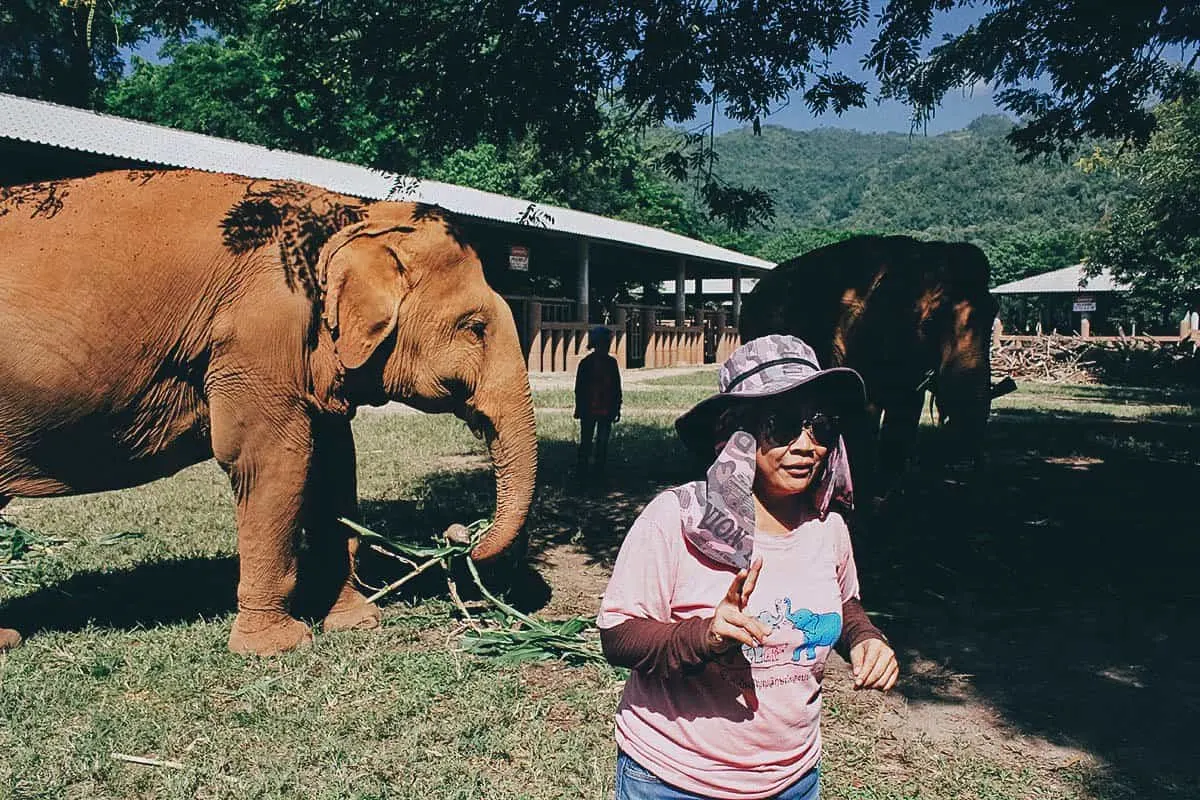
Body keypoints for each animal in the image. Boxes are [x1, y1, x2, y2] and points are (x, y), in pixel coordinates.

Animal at [0, 170, 537, 657]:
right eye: (475, 327)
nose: (463, 539)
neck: (352, 215)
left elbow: (335, 465)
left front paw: (357, 623)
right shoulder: (257, 332)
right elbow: (274, 460)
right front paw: (277, 647)